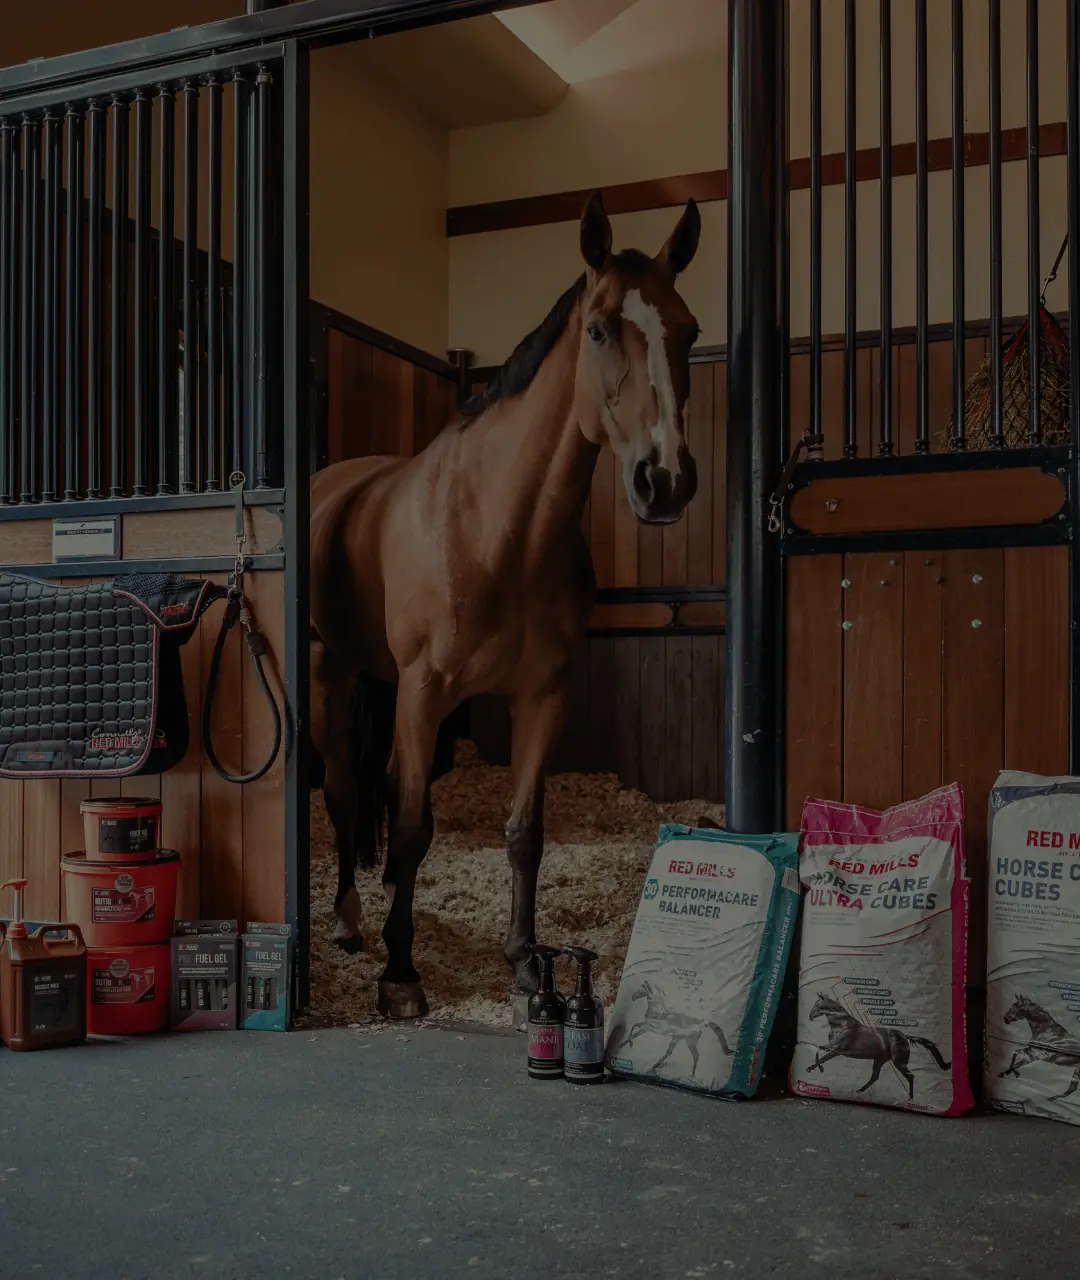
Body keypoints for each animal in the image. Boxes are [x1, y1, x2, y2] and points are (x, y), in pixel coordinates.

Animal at [310, 191, 702, 1019]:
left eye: (688, 330)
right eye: (598, 328)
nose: (665, 481)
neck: (499, 528)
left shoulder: (541, 694)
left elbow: (524, 832)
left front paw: (524, 962)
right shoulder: (424, 691)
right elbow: (416, 824)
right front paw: (401, 973)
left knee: (376, 786)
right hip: (331, 673)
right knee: (343, 792)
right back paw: (349, 921)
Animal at [806, 992, 951, 1099]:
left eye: (818, 1004)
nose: (810, 1016)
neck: (842, 1025)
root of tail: (904, 1036)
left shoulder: (836, 1049)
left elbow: (820, 1054)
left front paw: (816, 1068)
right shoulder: (833, 1048)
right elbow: (819, 1051)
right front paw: (812, 1067)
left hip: (899, 1062)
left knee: (910, 1076)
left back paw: (910, 1098)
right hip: (880, 1059)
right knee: (875, 1077)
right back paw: (859, 1091)